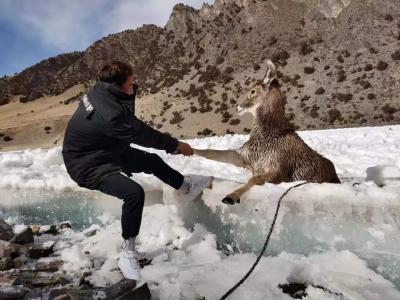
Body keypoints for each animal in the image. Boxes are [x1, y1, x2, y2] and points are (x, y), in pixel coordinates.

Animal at [194, 61, 340, 206]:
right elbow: (210, 152)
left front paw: (231, 197)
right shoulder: (244, 156)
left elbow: (253, 180)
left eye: (253, 91)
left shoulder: (277, 170)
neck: (267, 136)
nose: (238, 107)